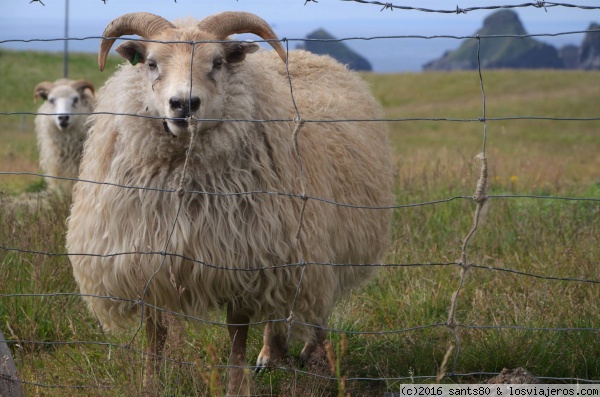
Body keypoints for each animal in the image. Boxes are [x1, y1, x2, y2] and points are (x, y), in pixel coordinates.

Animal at [65, 10, 396, 394]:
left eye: (218, 62)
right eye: (151, 63)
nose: (184, 105)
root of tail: (312, 57)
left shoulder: (242, 258)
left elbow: (236, 335)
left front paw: (237, 387)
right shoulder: (146, 260)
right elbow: (154, 332)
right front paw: (150, 382)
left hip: (311, 244)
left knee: (312, 306)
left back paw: (306, 355)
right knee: (280, 309)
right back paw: (274, 354)